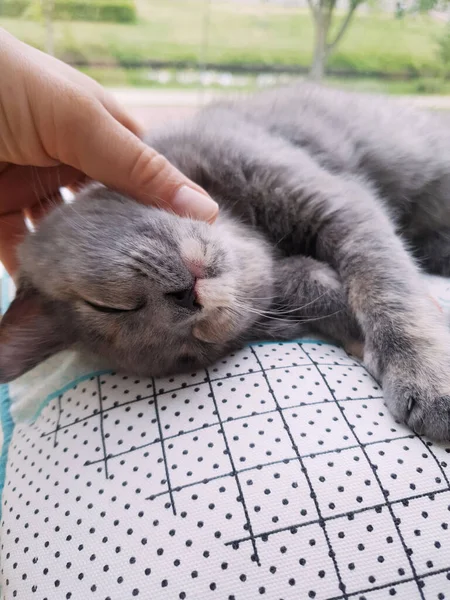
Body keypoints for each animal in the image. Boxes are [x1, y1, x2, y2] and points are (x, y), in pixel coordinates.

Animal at [2, 83, 450, 440]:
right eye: (192, 351)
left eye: (106, 306)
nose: (187, 300)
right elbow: (306, 282)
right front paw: (344, 323)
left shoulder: (336, 202)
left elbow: (384, 282)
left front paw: (425, 376)